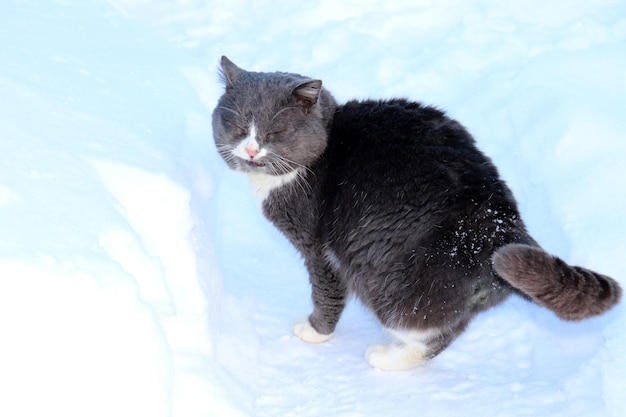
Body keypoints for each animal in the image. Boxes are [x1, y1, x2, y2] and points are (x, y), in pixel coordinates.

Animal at [213, 56, 620, 370]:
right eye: (237, 127)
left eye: (274, 132)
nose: (251, 150)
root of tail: (500, 223)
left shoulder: (318, 250)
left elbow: (326, 293)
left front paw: (315, 331)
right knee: (450, 328)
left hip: (391, 281)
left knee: (423, 331)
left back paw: (386, 357)